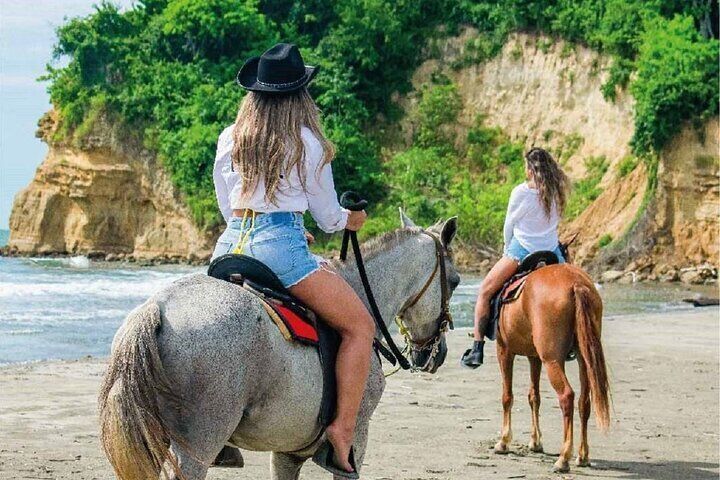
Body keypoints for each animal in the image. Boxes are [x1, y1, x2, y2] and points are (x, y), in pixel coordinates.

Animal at [100, 214, 462, 480]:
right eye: (456, 281)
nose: (437, 354)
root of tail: (158, 308)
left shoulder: (287, 453)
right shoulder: (355, 442)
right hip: (198, 445)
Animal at [496, 262, 608, 472]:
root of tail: (576, 283)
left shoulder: (504, 350)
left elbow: (507, 397)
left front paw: (504, 441)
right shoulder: (534, 357)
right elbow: (534, 397)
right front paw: (535, 442)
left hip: (552, 360)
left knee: (566, 396)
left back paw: (563, 458)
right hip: (583, 358)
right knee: (584, 402)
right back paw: (582, 456)